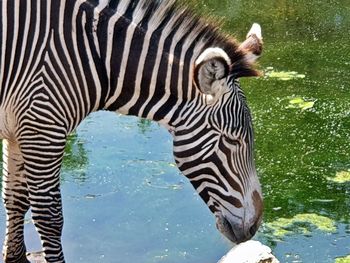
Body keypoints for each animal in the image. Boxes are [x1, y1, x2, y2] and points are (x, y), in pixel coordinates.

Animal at [0, 0, 262, 262]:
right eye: (231, 140)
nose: (255, 226)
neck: (93, 54)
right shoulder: (43, 128)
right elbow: (49, 217)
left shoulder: (18, 131)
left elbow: (15, 200)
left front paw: (14, 257)